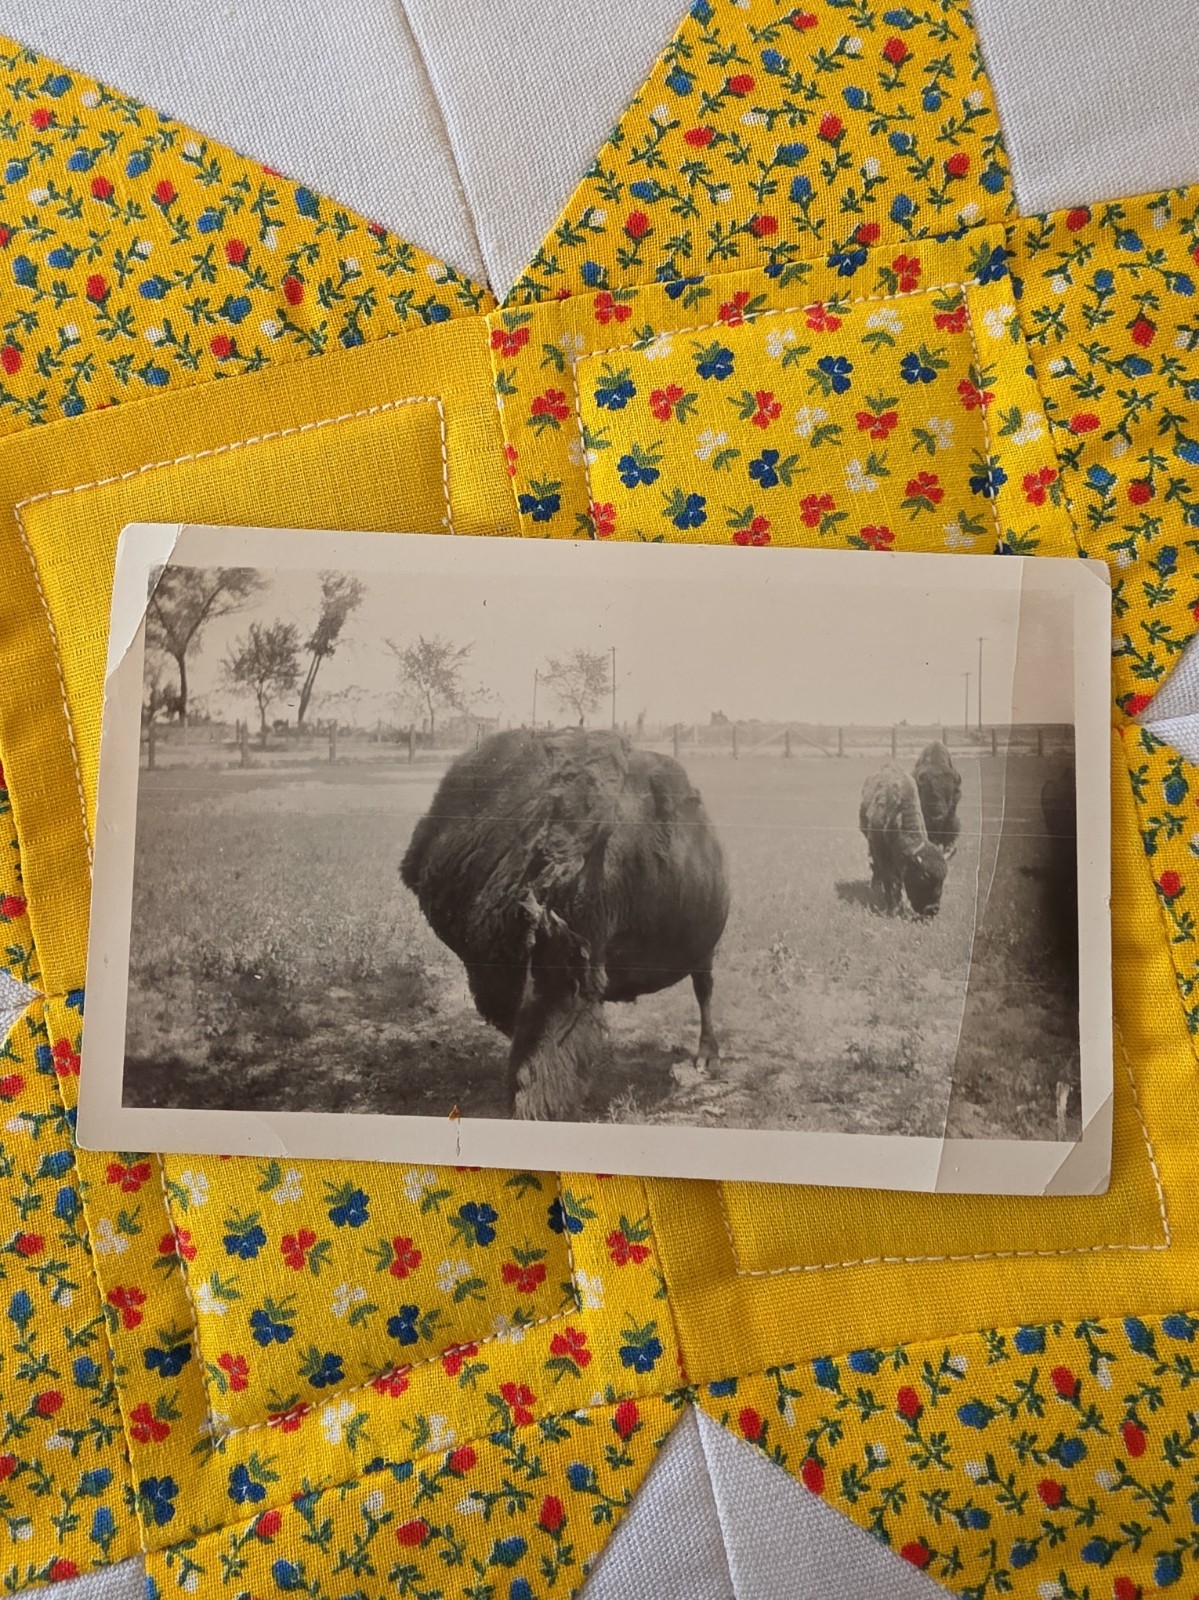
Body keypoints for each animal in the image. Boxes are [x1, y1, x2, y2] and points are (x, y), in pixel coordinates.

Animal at [860, 762, 948, 917]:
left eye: (943, 880)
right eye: (923, 877)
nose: (932, 909)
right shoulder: (881, 852)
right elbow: (890, 879)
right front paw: (893, 908)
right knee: (875, 867)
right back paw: (875, 885)